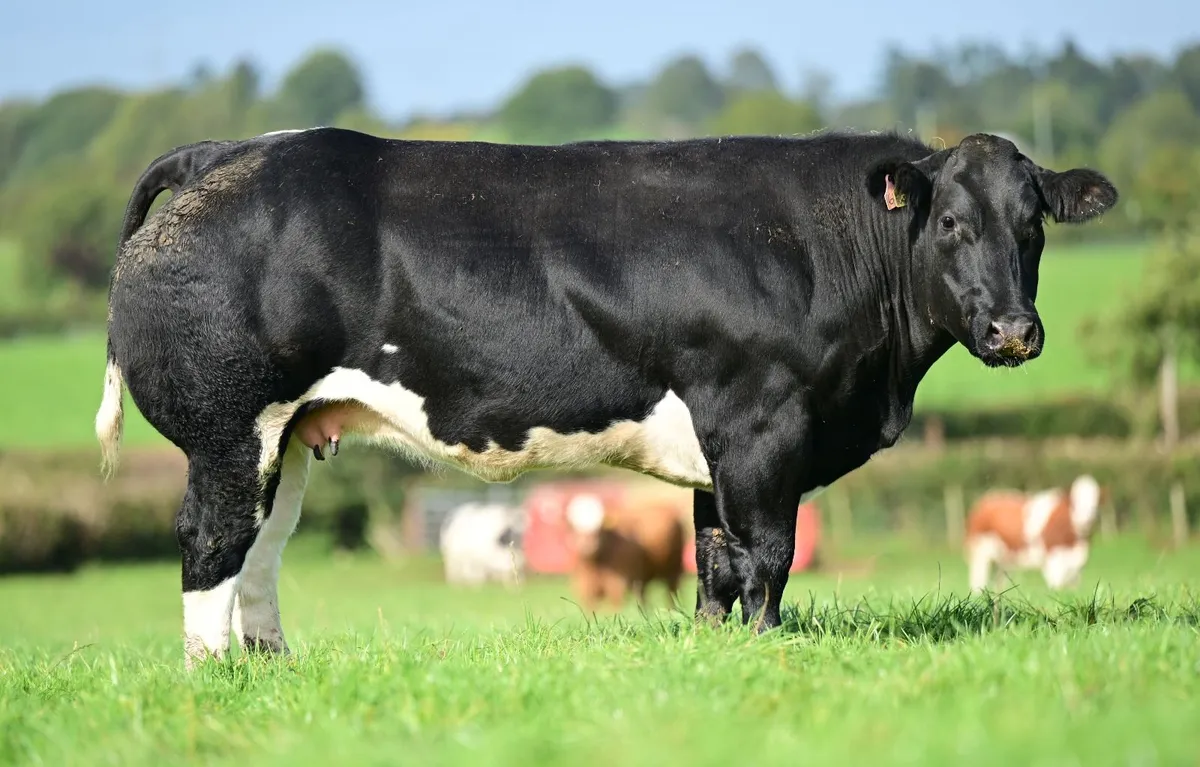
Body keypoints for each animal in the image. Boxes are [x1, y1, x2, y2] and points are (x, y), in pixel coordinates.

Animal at [964, 475, 1104, 593]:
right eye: (1074, 501)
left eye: (1096, 499)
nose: (1087, 519)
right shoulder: (1053, 560)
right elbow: (1057, 588)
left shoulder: (1077, 564)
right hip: (980, 552)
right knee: (978, 578)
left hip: (1002, 558)